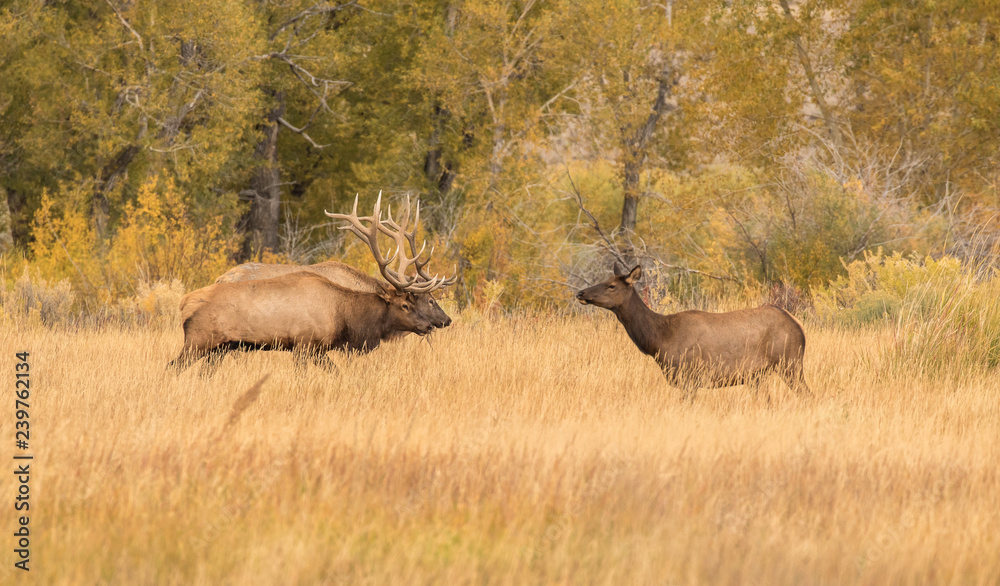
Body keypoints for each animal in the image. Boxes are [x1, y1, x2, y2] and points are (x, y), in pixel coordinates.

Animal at [576, 264, 810, 402]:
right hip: (758, 376)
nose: (580, 292)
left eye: (611, 285)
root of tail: (799, 327)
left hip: (790, 362)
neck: (659, 339)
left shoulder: (688, 377)